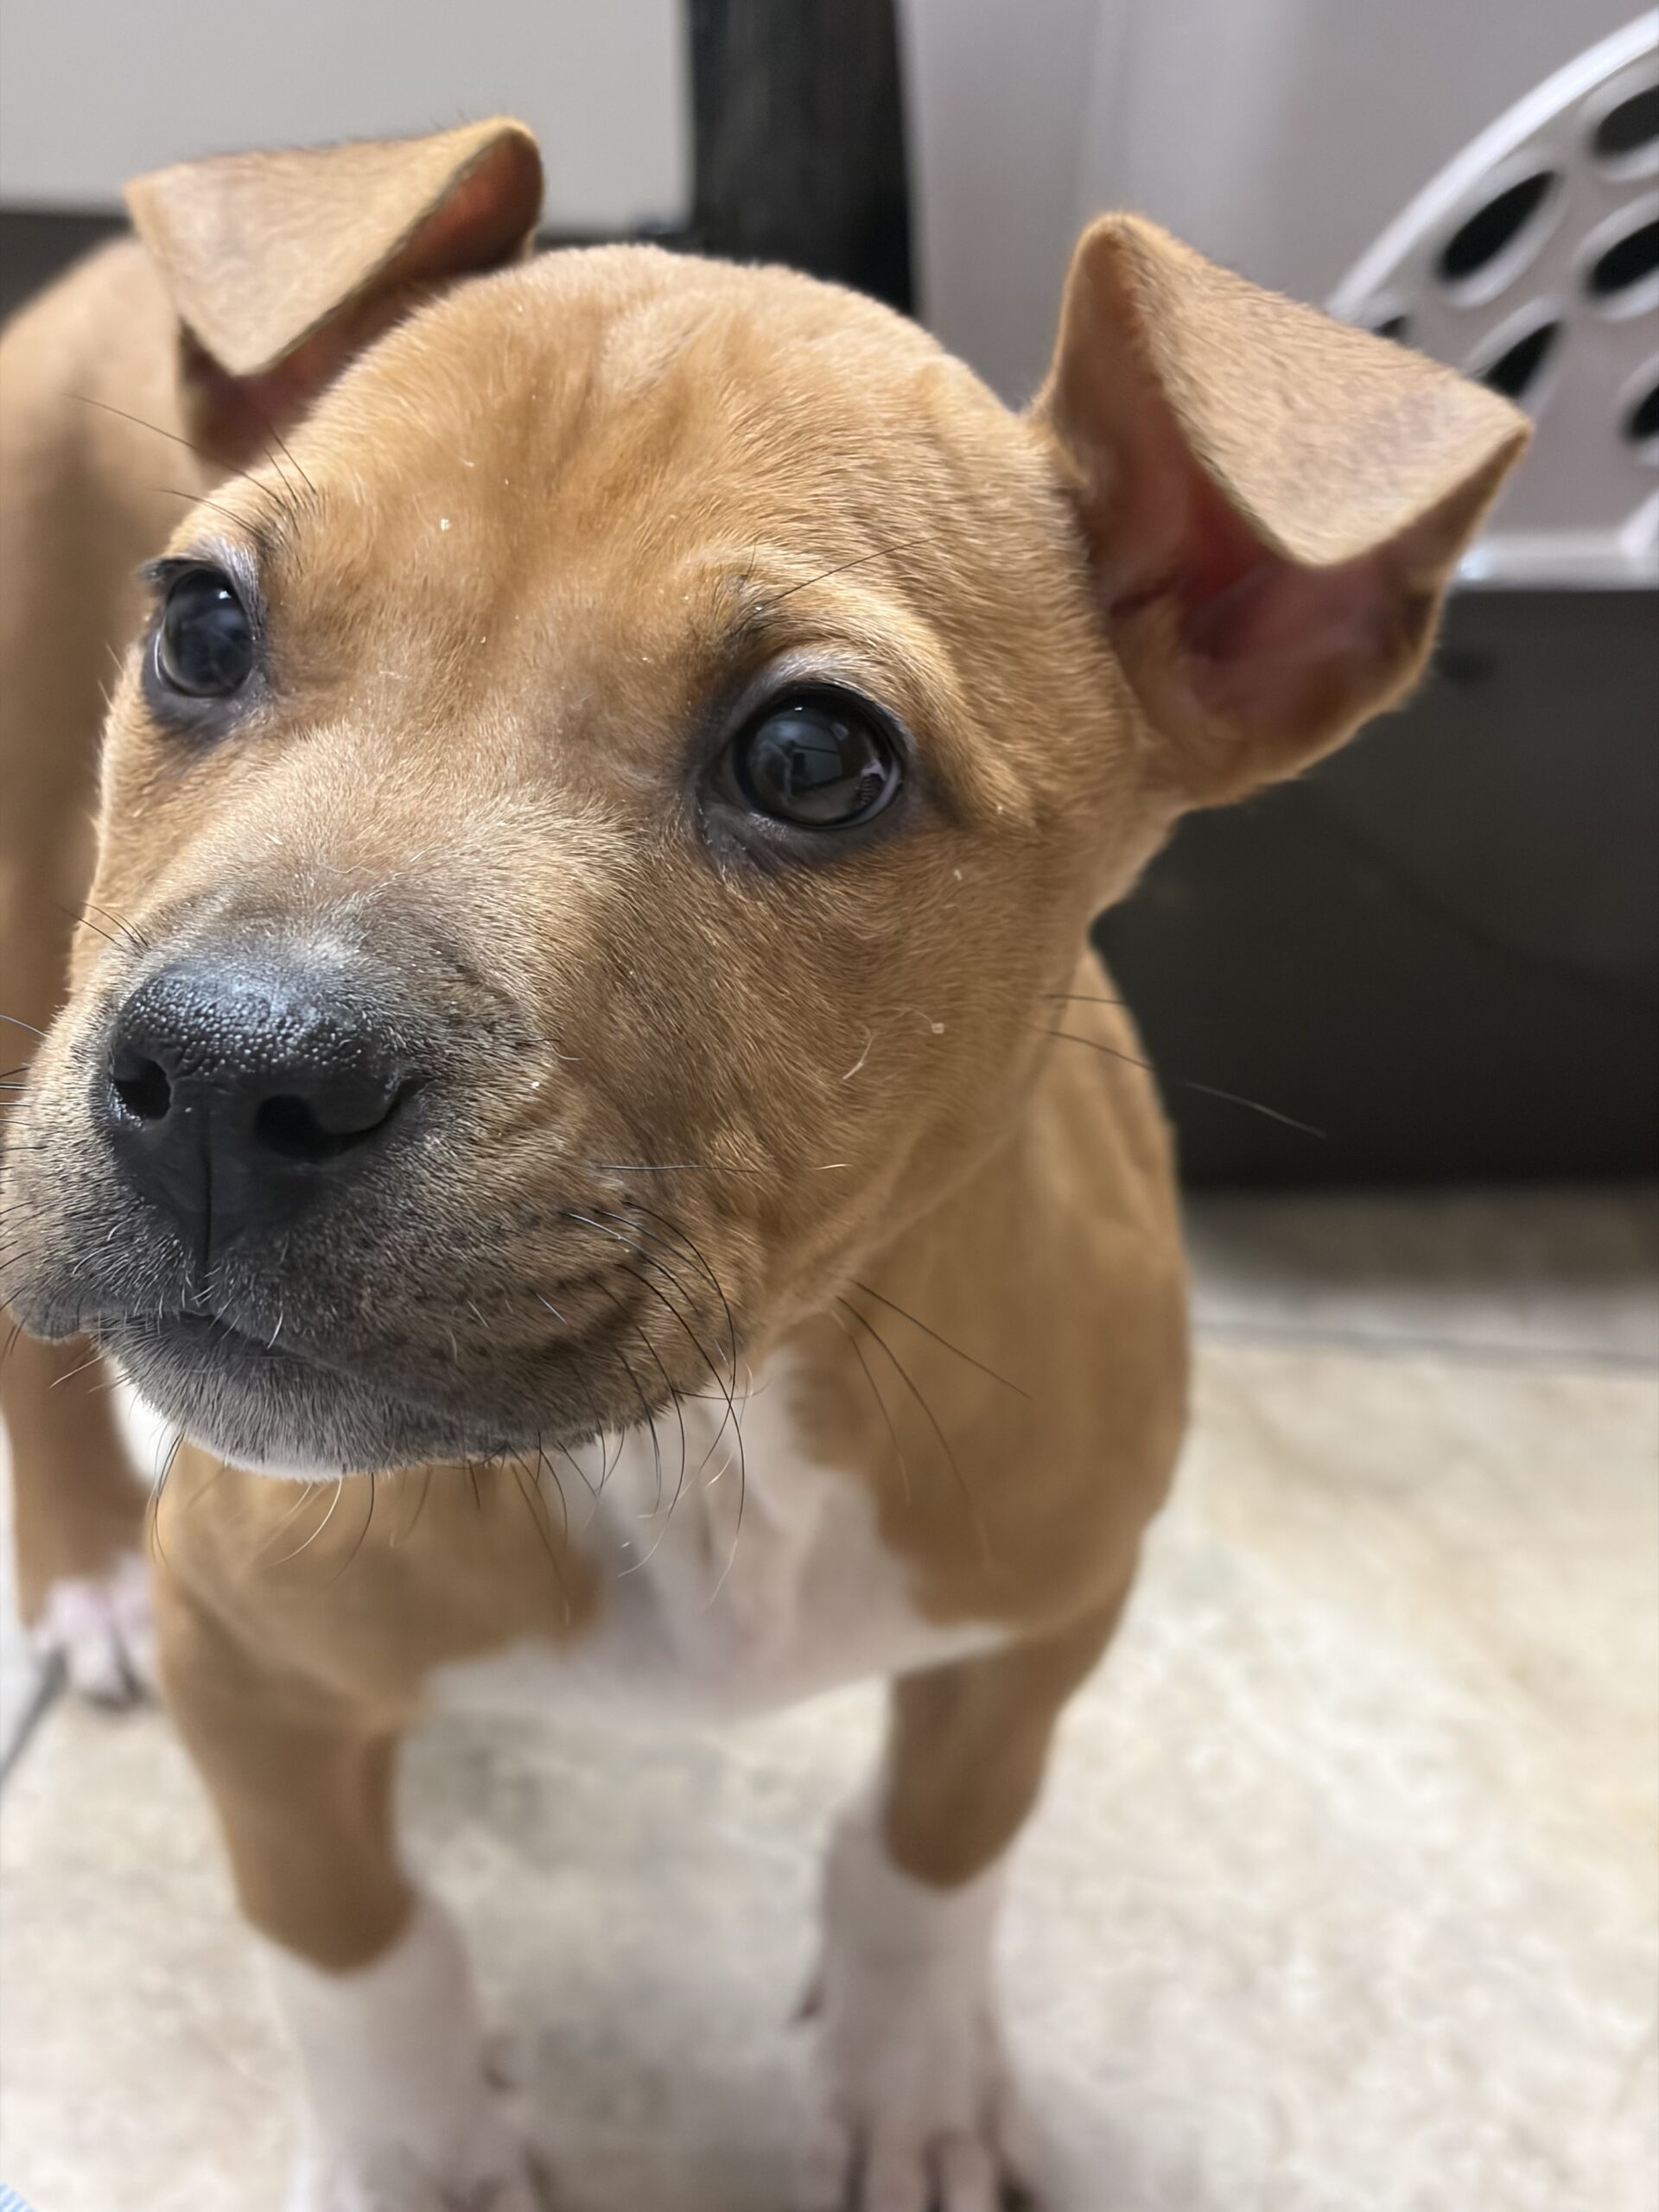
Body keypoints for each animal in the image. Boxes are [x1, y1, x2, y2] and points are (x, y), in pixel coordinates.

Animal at [0, 118, 1525, 2212]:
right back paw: (81, 1576)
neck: (691, 1445)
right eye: (204, 625)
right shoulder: (254, 1667)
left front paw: (908, 2077)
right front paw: (418, 2150)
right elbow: (349, 1930)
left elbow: (934, 1849)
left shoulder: (1044, 1620)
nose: (231, 1079)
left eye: (813, 758)